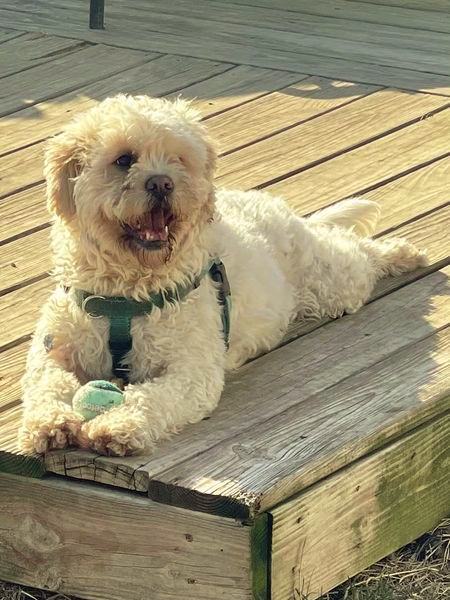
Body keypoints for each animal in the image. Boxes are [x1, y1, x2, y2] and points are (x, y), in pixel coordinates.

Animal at [20, 96, 426, 458]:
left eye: (179, 159)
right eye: (124, 159)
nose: (162, 183)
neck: (127, 290)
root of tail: (280, 210)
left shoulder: (192, 370)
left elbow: (152, 398)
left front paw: (119, 426)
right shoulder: (52, 351)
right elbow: (46, 384)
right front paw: (48, 422)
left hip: (331, 279)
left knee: (359, 253)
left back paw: (401, 253)